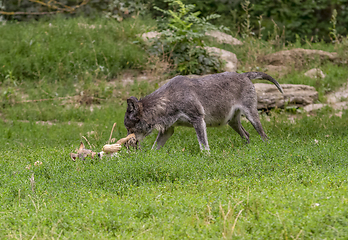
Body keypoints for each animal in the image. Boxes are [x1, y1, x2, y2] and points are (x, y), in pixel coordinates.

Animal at [124, 71, 282, 150]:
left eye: (128, 128)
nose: (125, 144)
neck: (169, 99)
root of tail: (244, 75)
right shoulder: (168, 130)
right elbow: (154, 148)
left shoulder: (198, 120)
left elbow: (203, 146)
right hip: (233, 123)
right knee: (247, 135)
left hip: (252, 116)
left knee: (264, 136)